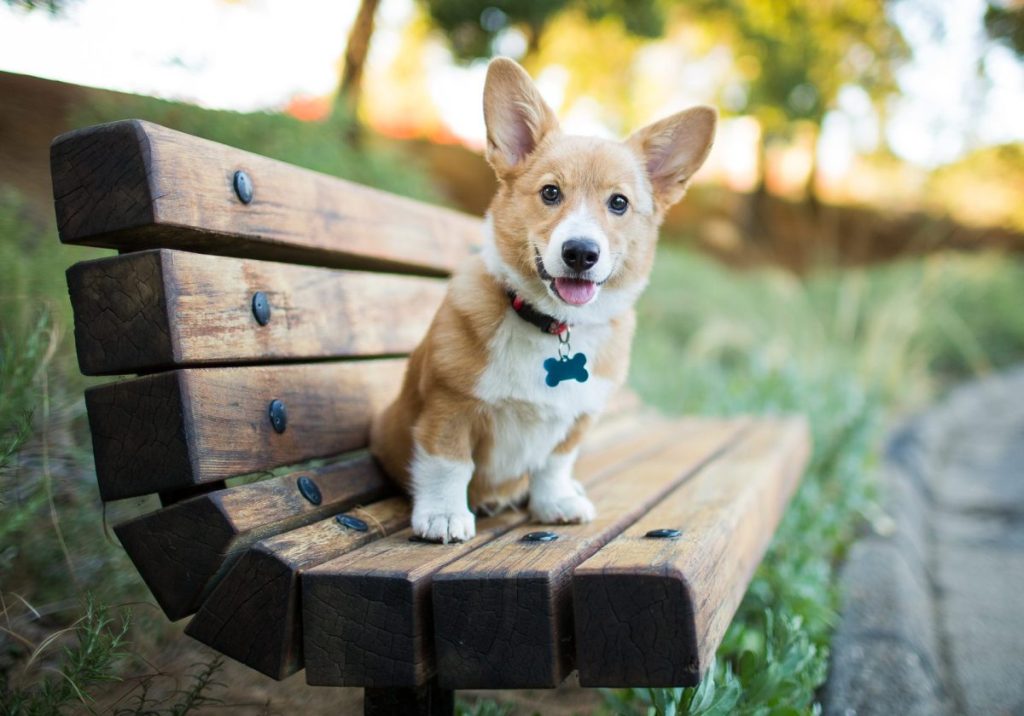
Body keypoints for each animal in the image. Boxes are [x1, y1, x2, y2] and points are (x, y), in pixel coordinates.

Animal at [372, 57, 716, 544]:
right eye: (551, 192)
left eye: (619, 203)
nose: (581, 253)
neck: (552, 325)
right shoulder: (449, 407)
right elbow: (449, 464)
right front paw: (443, 515)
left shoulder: (577, 419)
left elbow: (554, 464)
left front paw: (555, 502)